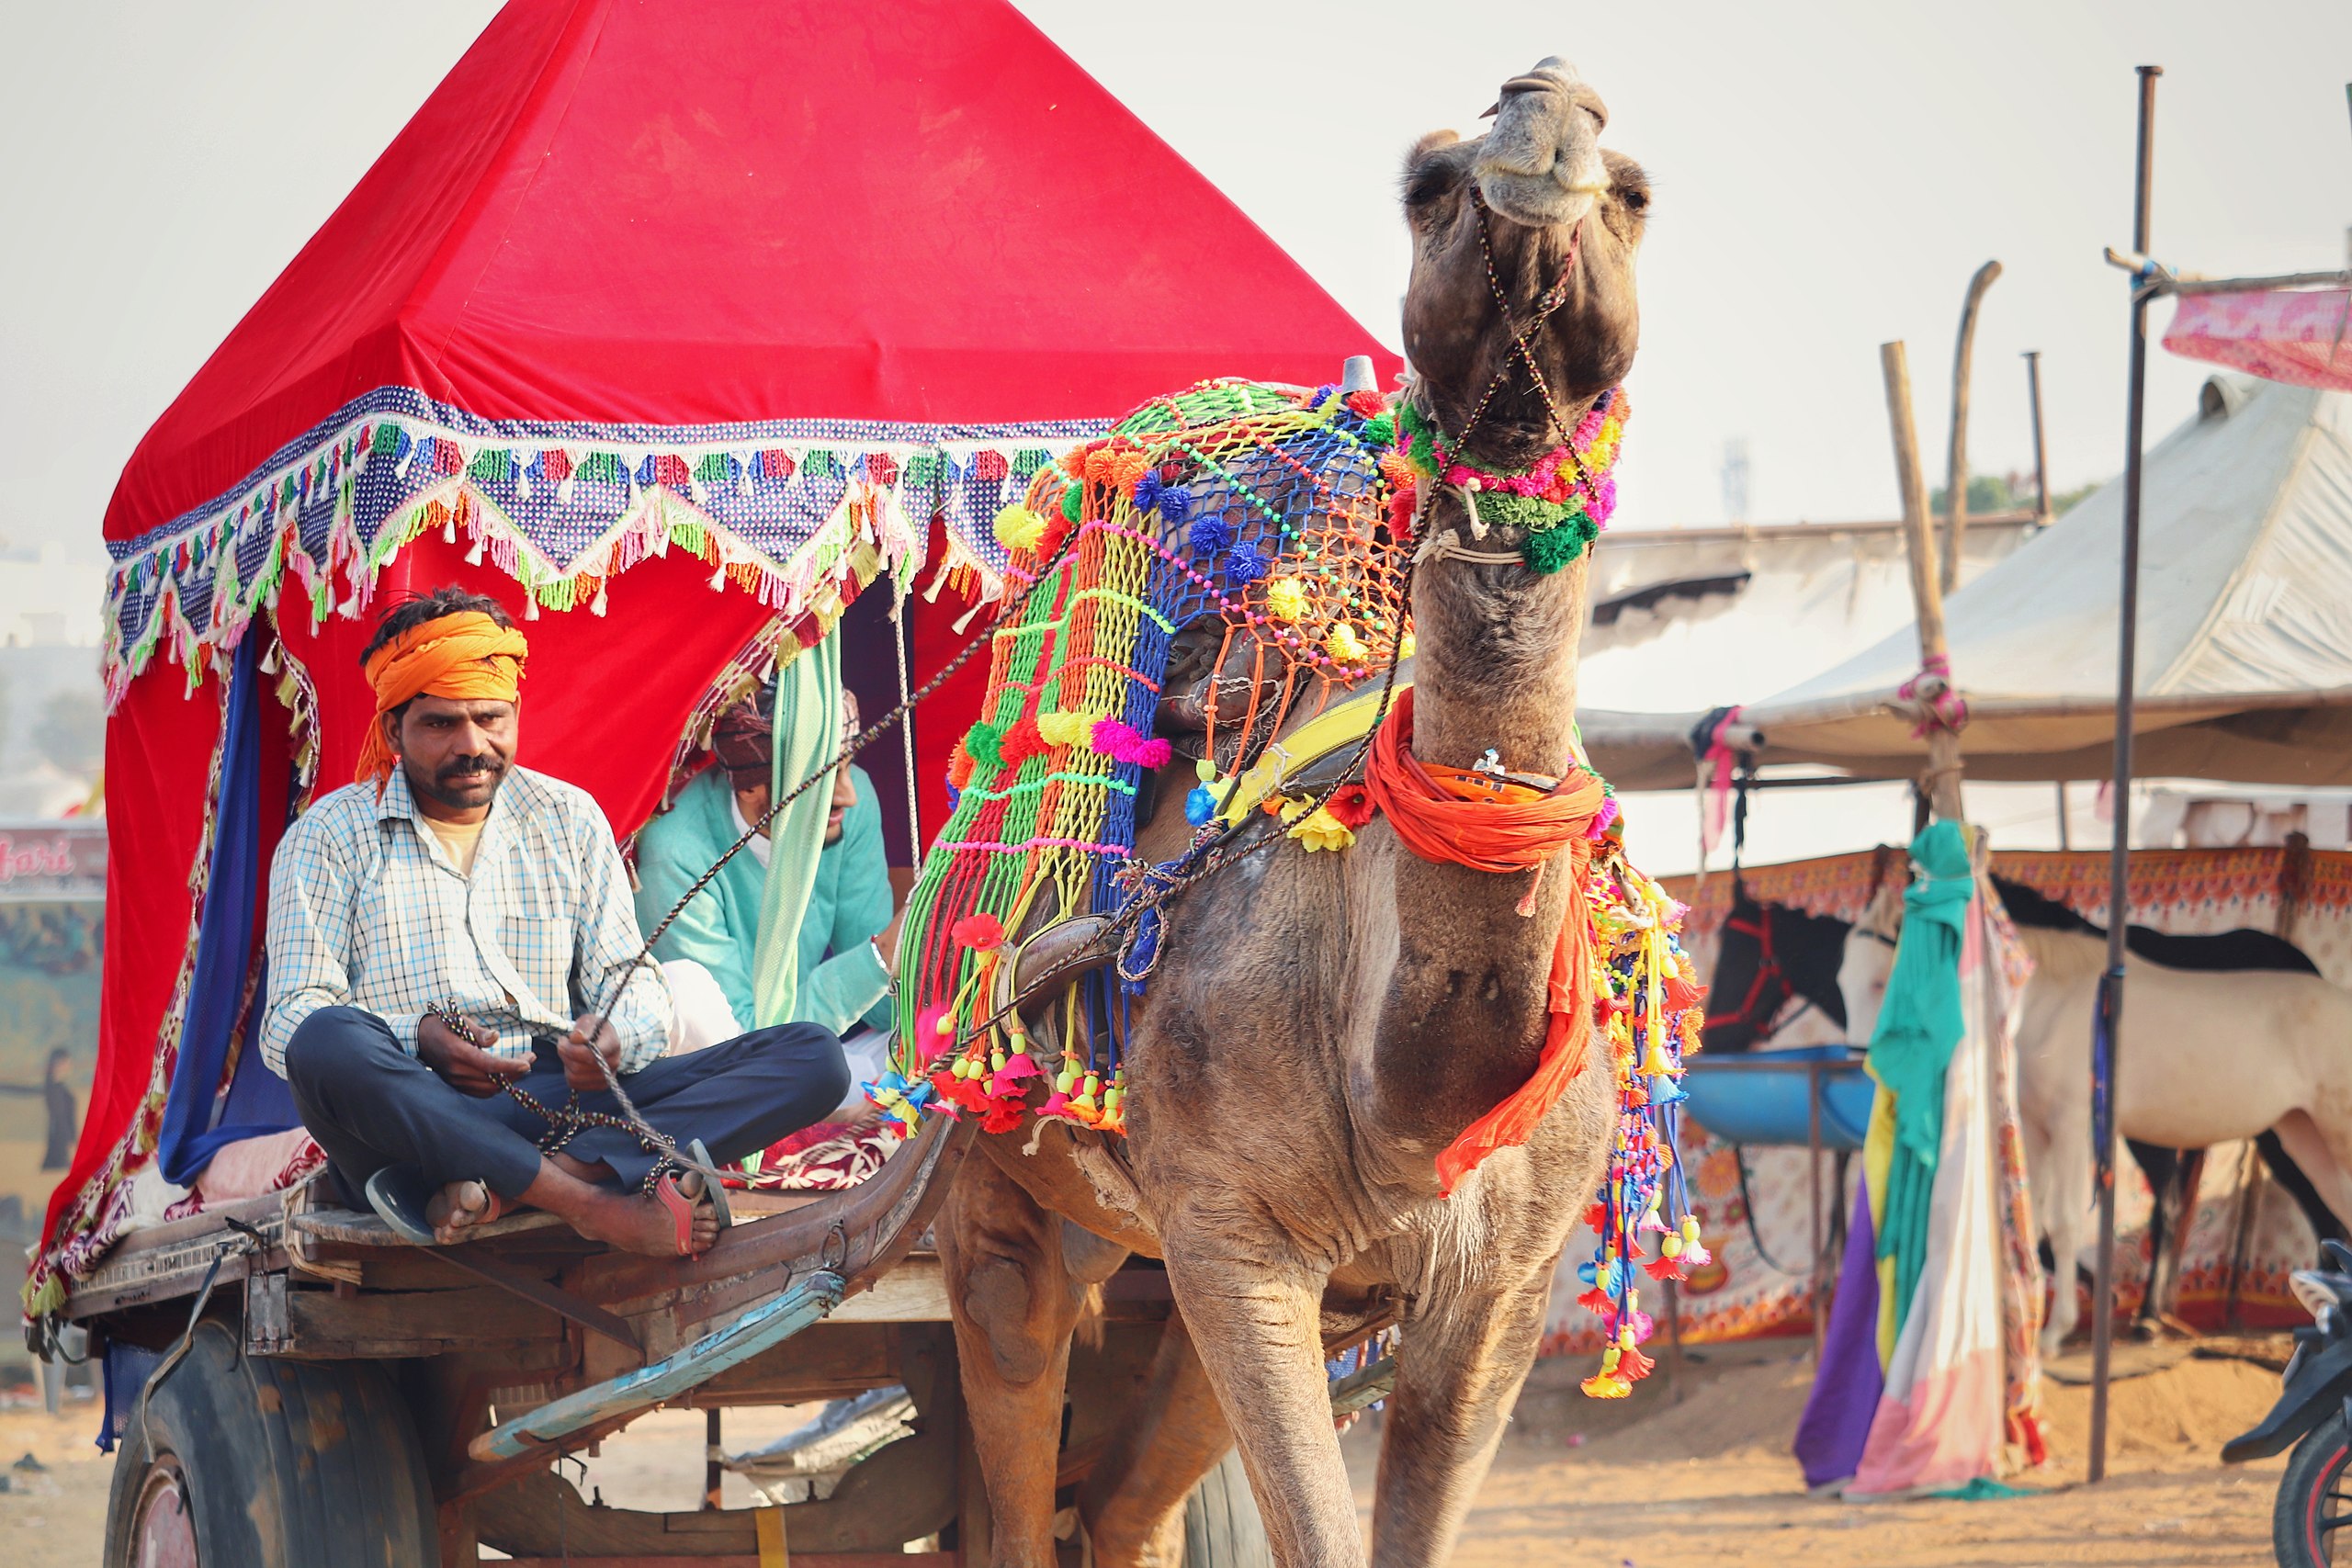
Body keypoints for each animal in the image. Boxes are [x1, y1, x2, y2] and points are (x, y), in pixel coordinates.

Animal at [875, 55, 1683, 1561]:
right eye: (1424, 181)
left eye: (1638, 195)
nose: (1545, 101)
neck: (1418, 1084)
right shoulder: (1231, 1237)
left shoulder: (1499, 1284)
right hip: (1003, 1200)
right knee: (1014, 1444)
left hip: (1159, 1267)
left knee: (1114, 1505)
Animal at [1844, 879, 2352, 1354]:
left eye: (1884, 980)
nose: (1865, 1070)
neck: (2047, 1003)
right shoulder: (2036, 1128)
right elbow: (2035, 1221)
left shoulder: (2071, 1127)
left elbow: (2065, 1222)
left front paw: (2054, 1333)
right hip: (2301, 1136)